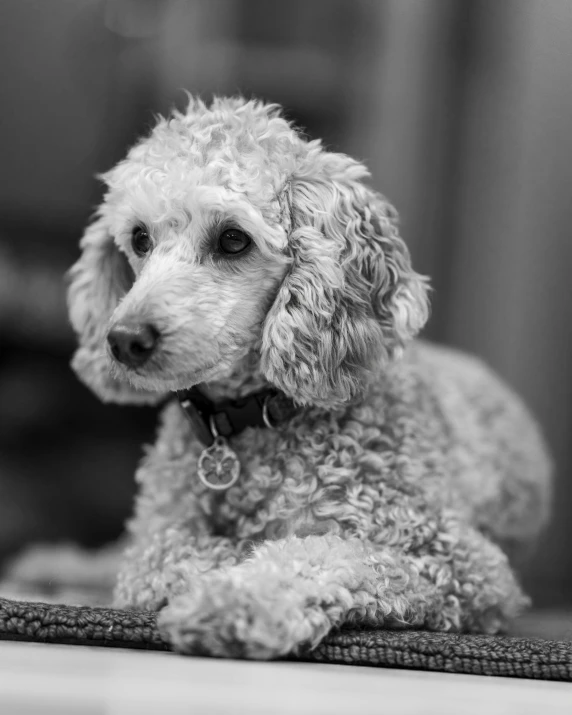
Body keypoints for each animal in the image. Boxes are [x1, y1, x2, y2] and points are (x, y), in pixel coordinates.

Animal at [65, 96, 552, 660]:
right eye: (140, 237)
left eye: (233, 239)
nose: (124, 339)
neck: (254, 420)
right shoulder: (157, 536)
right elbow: (162, 556)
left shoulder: (462, 563)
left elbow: (324, 554)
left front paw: (236, 600)